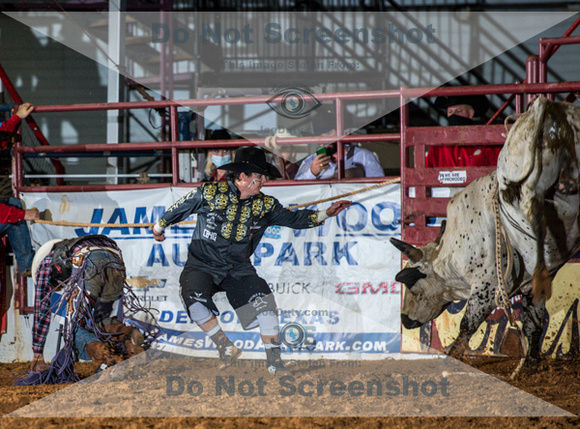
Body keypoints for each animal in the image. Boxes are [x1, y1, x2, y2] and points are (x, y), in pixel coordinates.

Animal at [392, 98, 580, 368]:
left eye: (415, 290)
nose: (405, 320)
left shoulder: (487, 285)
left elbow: (467, 324)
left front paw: (453, 355)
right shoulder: (530, 285)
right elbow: (533, 321)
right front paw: (531, 362)